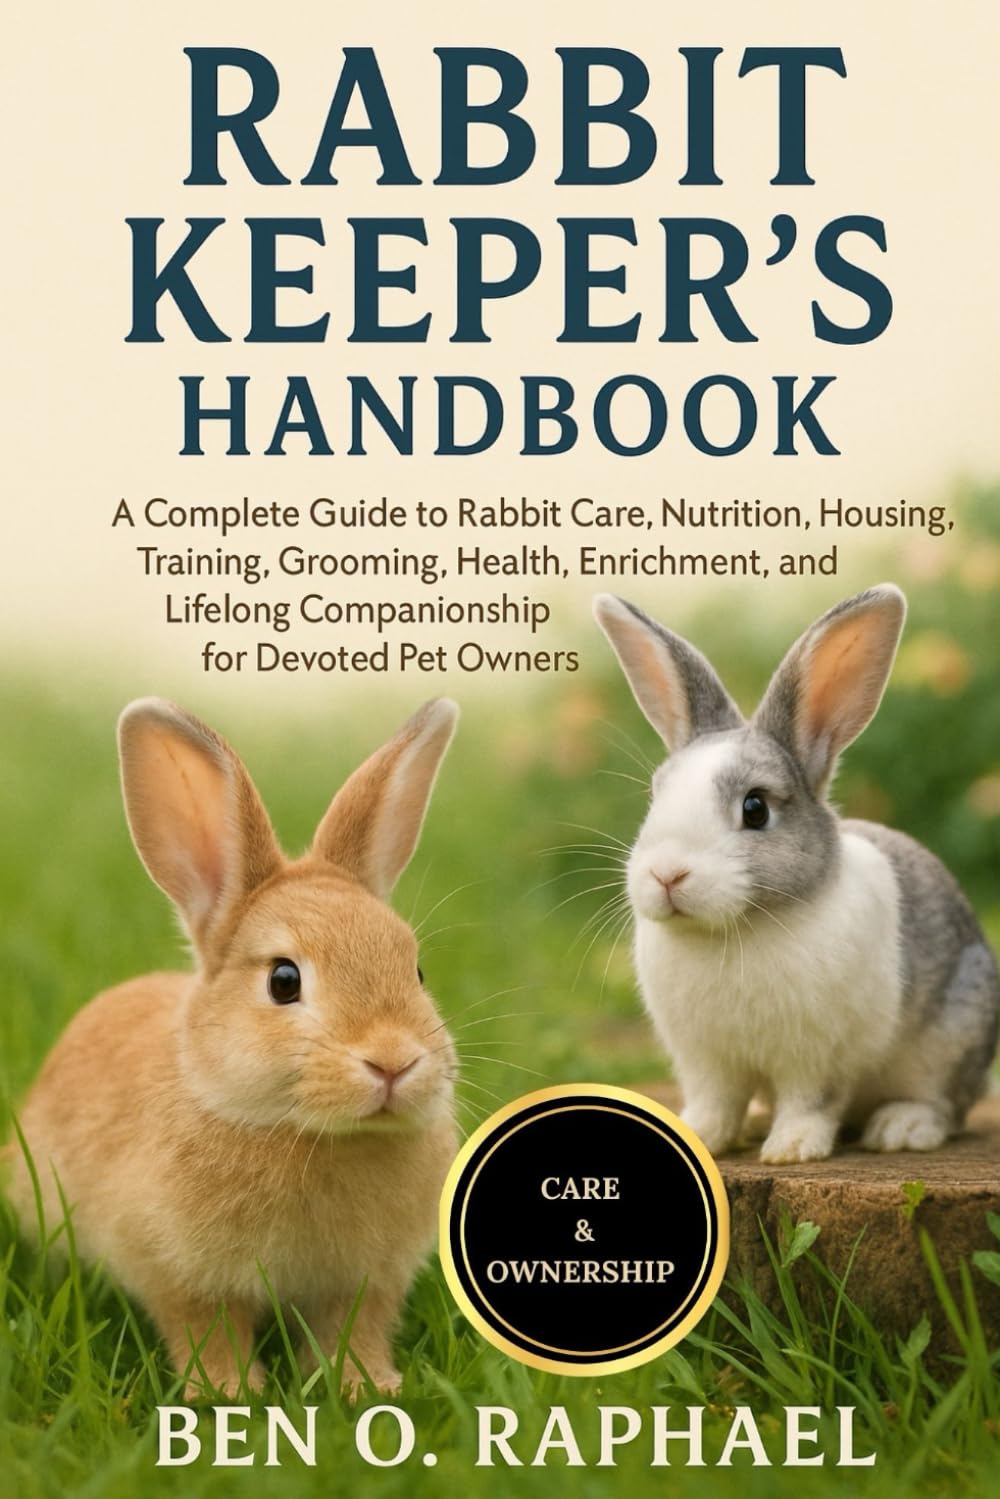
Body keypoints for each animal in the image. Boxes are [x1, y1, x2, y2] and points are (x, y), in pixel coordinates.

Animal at [5, 696, 460, 1397]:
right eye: (283, 981)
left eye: (416, 971)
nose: (393, 1062)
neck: (304, 1132)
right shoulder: (187, 1280)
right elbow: (207, 1333)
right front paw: (230, 1395)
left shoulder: (366, 1284)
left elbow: (353, 1331)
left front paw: (368, 1388)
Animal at [594, 585, 999, 1165]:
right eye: (656, 796)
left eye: (755, 808)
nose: (667, 875)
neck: (737, 930)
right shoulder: (706, 1061)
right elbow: (714, 1103)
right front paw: (701, 1135)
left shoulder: (819, 1056)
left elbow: (811, 1101)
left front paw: (792, 1149)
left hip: (953, 1034)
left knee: (945, 1104)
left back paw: (899, 1127)